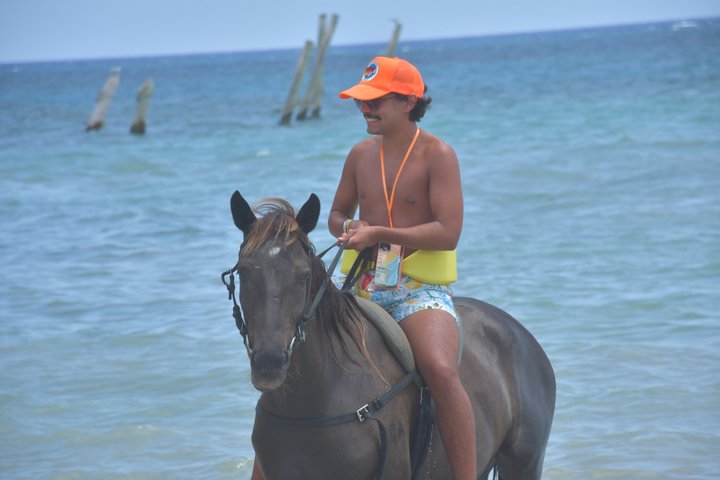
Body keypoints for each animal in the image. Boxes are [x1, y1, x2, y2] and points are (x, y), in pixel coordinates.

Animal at [223, 190, 555, 480]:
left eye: (303, 276)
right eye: (244, 272)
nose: (269, 364)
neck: (315, 400)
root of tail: (519, 332)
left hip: (524, 463)